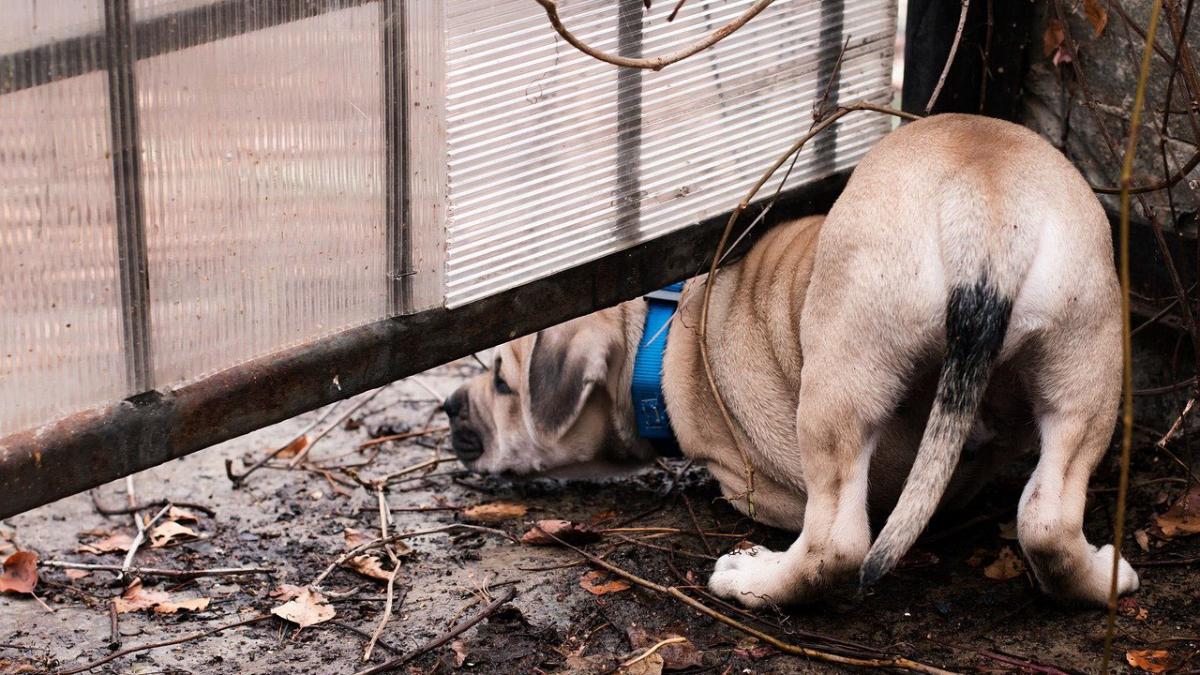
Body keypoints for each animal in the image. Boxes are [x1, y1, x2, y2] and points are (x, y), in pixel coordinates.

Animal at [446, 114, 1137, 605]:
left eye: (502, 384)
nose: (449, 404)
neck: (657, 335)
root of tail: (984, 201)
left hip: (840, 381)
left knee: (837, 542)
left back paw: (754, 582)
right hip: (1088, 358)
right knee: (1048, 518)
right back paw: (1104, 575)